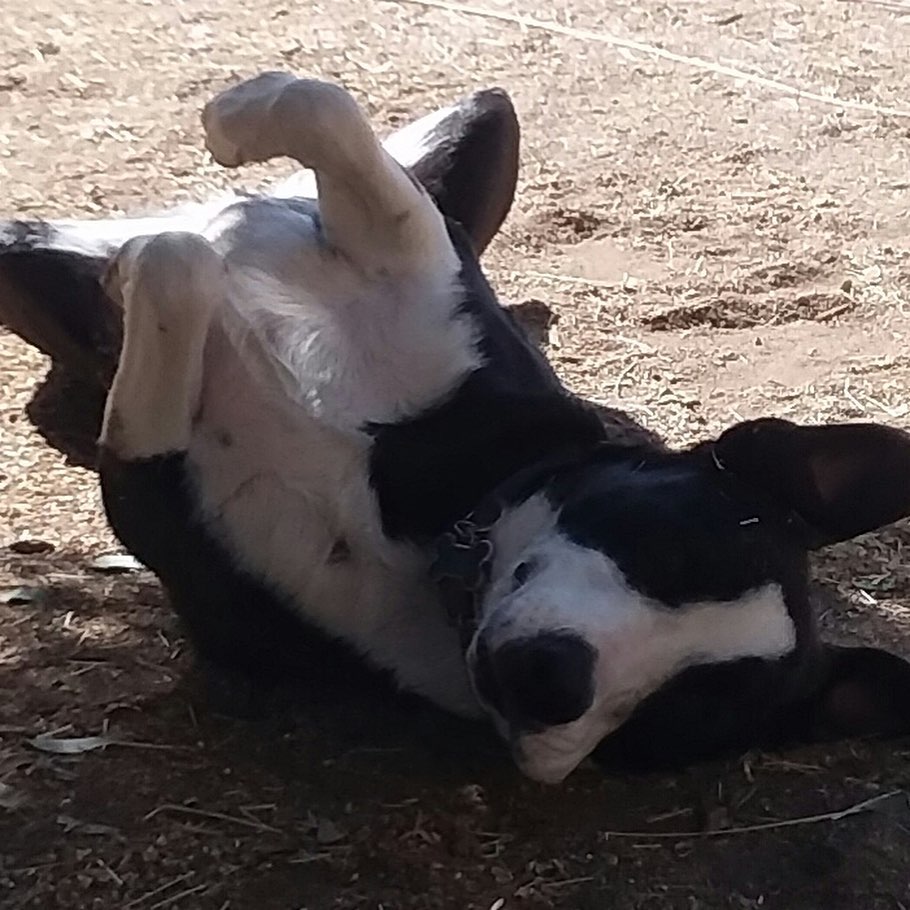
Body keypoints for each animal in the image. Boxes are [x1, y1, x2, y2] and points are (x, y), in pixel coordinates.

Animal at [1, 73, 910, 784]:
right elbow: (332, 126)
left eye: (679, 713)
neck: (433, 520)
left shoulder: (158, 498)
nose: (554, 680)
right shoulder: (426, 269)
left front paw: (153, 266)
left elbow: (177, 267)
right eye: (671, 547)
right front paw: (238, 122)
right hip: (489, 123)